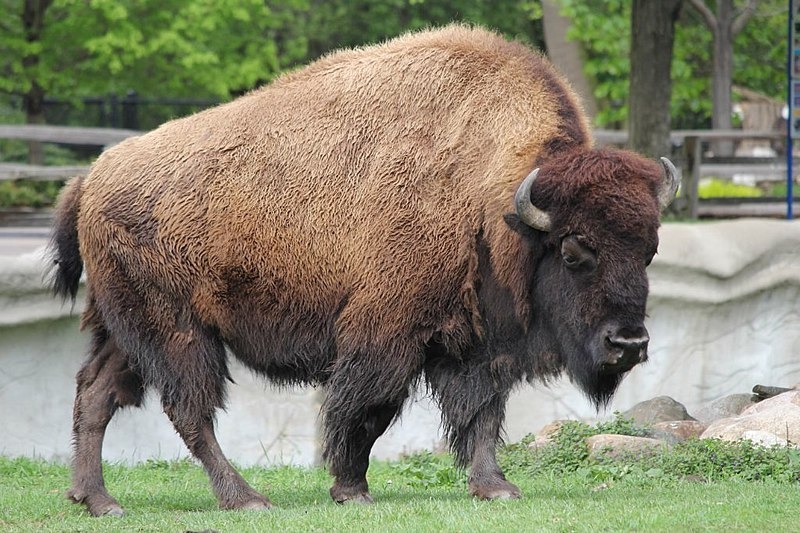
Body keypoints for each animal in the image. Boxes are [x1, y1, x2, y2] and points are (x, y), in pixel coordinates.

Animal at [48, 25, 676, 516]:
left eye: (649, 250)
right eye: (574, 250)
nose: (628, 343)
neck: (493, 197)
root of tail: (92, 178)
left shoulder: (480, 342)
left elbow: (483, 414)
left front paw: (495, 487)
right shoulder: (387, 335)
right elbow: (367, 411)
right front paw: (351, 489)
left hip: (122, 330)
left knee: (95, 395)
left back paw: (98, 500)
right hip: (177, 331)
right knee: (188, 409)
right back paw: (245, 498)